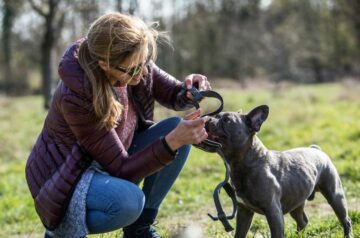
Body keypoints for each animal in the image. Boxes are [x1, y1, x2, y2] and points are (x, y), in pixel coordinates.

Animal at [202, 105, 352, 238]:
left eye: (226, 120)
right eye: (216, 116)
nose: (207, 119)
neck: (245, 163)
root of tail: (316, 149)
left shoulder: (273, 212)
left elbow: (276, 234)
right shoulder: (244, 212)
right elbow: (239, 234)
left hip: (335, 196)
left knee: (346, 220)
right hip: (296, 202)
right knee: (302, 222)